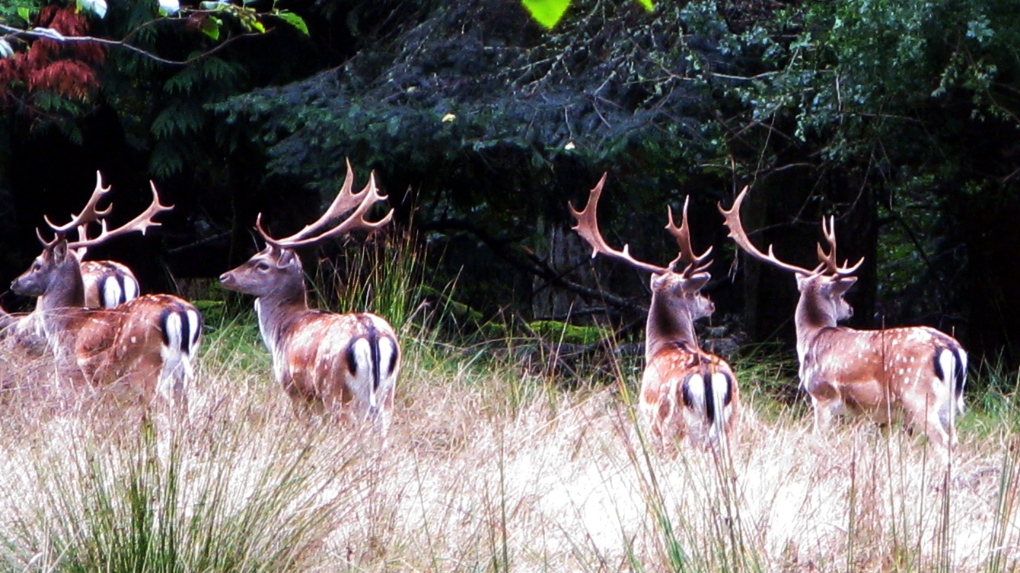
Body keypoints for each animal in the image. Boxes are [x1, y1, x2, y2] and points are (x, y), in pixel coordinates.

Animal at [9, 176, 200, 403]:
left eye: (37, 265)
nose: (14, 282)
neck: (64, 324)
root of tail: (181, 313)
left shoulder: (73, 366)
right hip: (185, 365)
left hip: (146, 362)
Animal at [220, 158, 401, 434]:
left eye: (262, 264)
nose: (225, 276)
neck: (281, 331)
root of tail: (370, 334)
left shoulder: (294, 389)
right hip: (387, 394)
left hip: (335, 390)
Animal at [567, 174, 742, 450]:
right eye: (695, 293)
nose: (711, 303)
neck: (663, 345)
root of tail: (707, 378)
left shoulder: (650, 425)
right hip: (731, 422)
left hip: (671, 425)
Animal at [714, 185, 966, 448]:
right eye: (841, 296)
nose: (850, 308)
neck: (811, 338)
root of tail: (951, 349)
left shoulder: (822, 394)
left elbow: (818, 436)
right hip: (950, 403)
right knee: (954, 439)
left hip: (916, 393)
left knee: (943, 440)